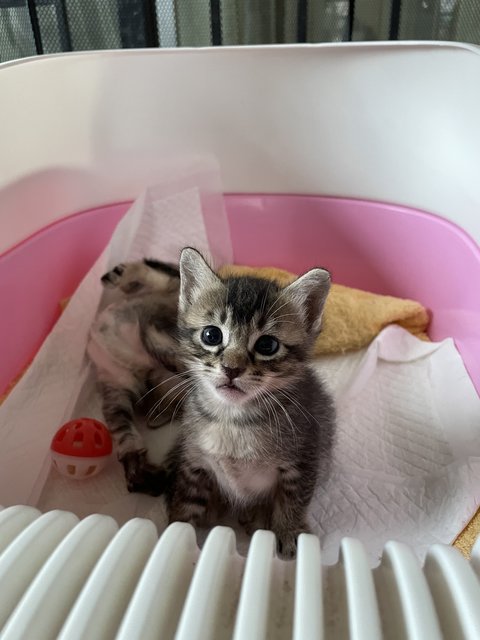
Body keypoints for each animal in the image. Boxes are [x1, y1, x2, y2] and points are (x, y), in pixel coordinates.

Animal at [86, 260, 184, 496]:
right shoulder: (116, 390)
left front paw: (139, 473)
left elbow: (124, 435)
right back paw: (119, 275)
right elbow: (123, 431)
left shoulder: (116, 394)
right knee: (161, 274)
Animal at [163, 248, 336, 556]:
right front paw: (174, 536)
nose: (231, 369)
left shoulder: (304, 457)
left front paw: (288, 531)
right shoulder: (193, 461)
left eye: (267, 345)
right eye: (211, 335)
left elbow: (293, 500)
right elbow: (185, 503)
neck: (232, 419)